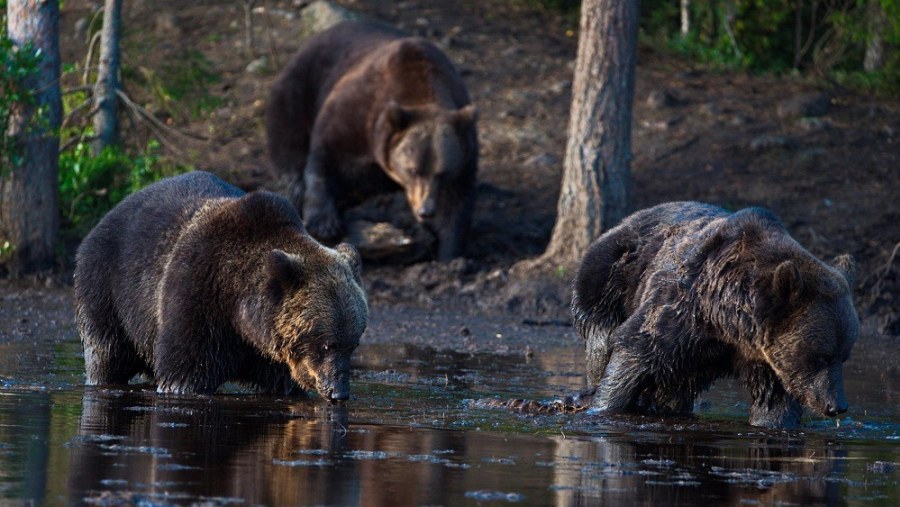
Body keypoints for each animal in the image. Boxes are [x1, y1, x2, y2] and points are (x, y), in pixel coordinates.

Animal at [74, 172, 368, 400]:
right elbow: (186, 370)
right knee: (106, 352)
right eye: (326, 344)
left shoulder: (273, 354)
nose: (339, 392)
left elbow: (282, 383)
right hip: (107, 286)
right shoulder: (198, 294)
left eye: (353, 344)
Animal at [264, 19, 478, 262]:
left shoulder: (463, 151)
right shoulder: (359, 110)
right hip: (301, 85)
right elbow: (326, 153)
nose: (425, 211)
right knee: (288, 139)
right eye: (413, 170)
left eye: (441, 173)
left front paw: (449, 254)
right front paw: (323, 222)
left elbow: (456, 203)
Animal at [572, 202, 860, 428]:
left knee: (675, 386)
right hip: (608, 279)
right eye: (821, 356)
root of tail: (625, 220)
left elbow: (774, 403)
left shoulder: (766, 358)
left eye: (844, 356)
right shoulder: (681, 311)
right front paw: (603, 405)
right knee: (601, 340)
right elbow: (634, 352)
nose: (837, 406)